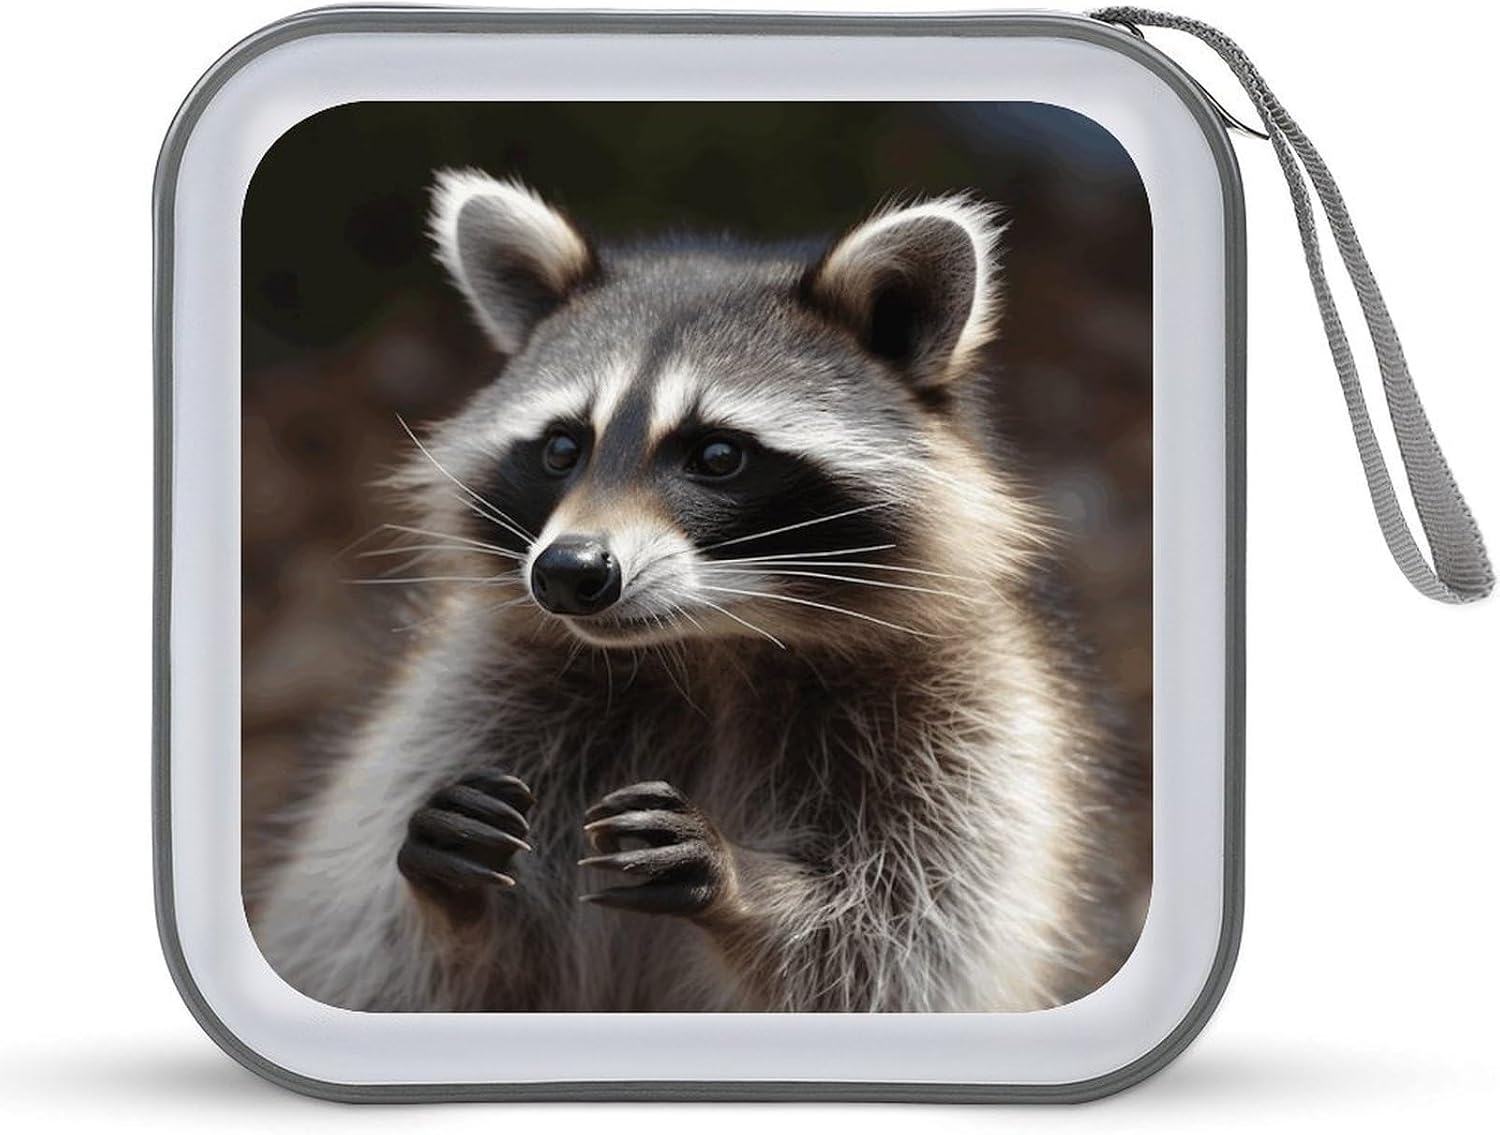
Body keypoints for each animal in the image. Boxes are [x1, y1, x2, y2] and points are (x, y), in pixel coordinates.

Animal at [250, 171, 1148, 1012]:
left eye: (718, 455)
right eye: (563, 448)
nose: (568, 571)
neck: (707, 646)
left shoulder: (965, 728)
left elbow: (894, 944)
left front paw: (750, 888)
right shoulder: (479, 696)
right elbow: (421, 959)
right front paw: (459, 907)